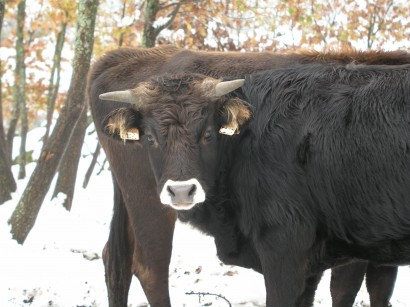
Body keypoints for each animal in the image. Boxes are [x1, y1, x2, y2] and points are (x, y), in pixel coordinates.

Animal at [87, 46, 406, 307]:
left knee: (115, 261)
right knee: (150, 268)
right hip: (151, 203)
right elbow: (344, 290)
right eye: (150, 138)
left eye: (208, 134)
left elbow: (376, 289)